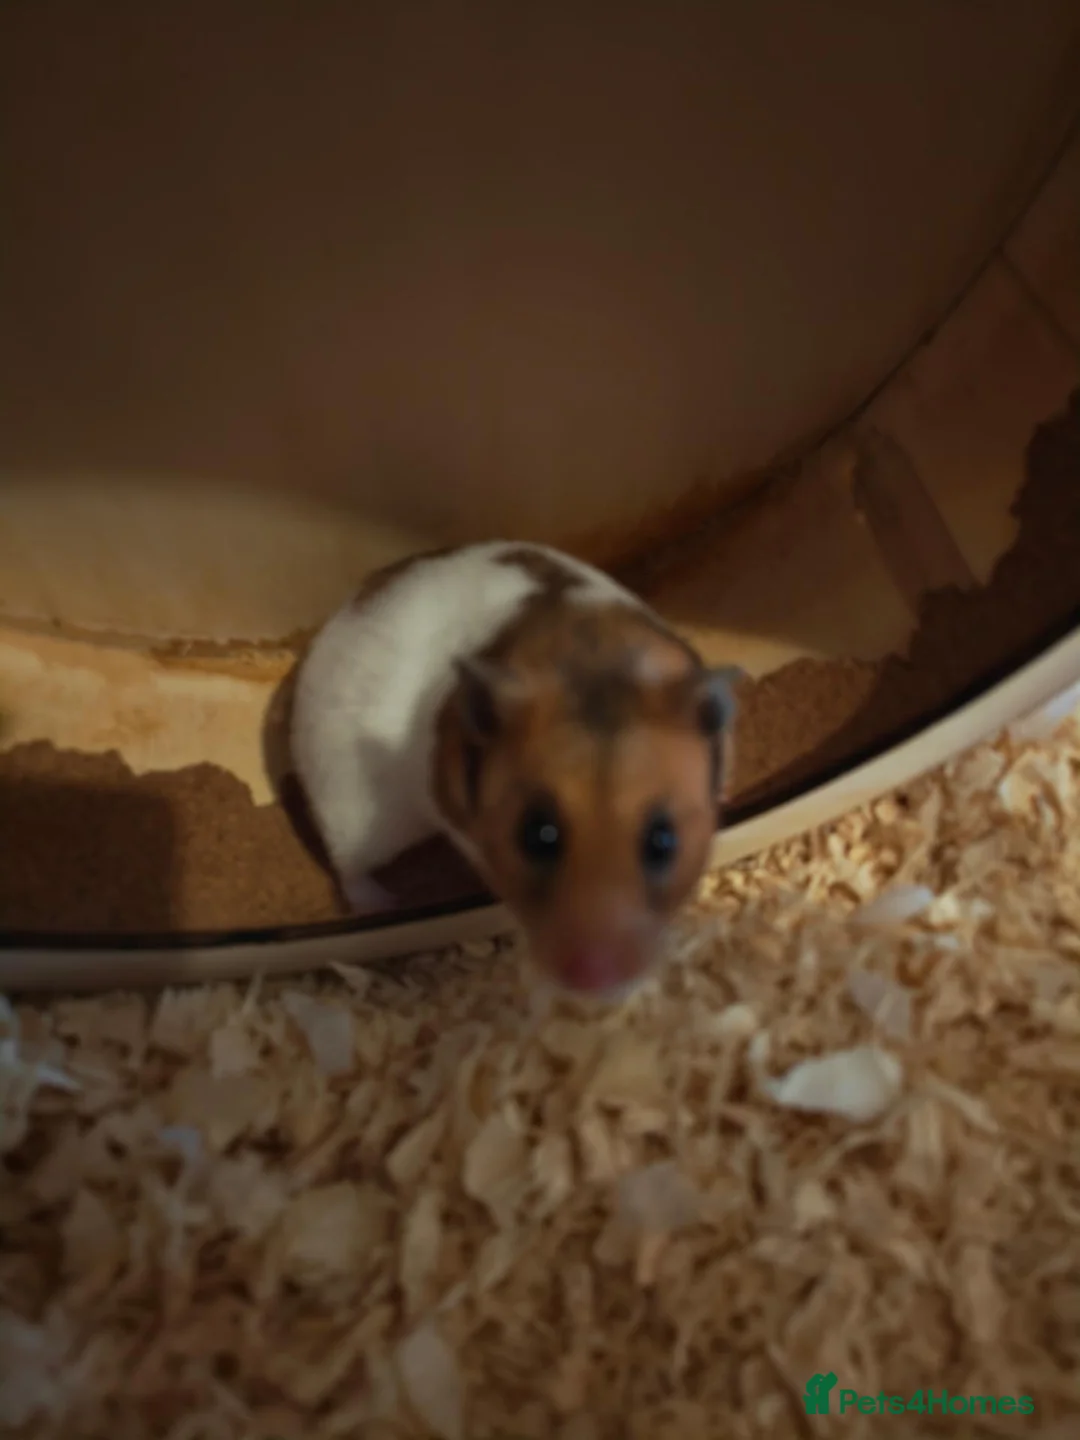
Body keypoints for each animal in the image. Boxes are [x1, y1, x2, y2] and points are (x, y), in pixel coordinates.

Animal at [289, 540, 741, 1000]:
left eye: (663, 841)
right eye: (537, 836)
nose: (593, 981)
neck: (592, 662)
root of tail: (338, 620)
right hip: (350, 811)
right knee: (349, 869)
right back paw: (383, 903)